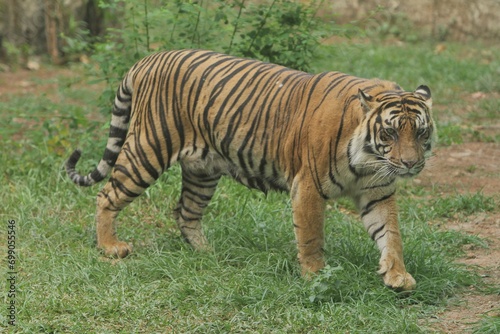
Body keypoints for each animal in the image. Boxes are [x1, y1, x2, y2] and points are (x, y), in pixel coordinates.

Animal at [65, 49, 434, 290]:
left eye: (420, 132)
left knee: (185, 211)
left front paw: (397, 275)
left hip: (202, 170)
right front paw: (316, 276)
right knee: (106, 195)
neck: (368, 160)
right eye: (389, 134)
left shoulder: (378, 191)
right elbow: (312, 235)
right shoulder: (309, 187)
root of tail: (147, 59)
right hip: (147, 150)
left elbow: (391, 233)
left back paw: (209, 253)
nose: (410, 163)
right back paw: (110, 247)